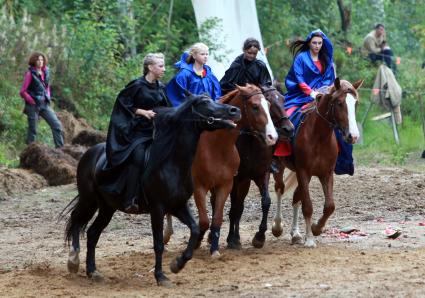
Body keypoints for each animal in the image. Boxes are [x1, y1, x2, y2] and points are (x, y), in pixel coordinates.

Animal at [63, 93, 242, 286]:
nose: (235, 110)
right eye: (204, 103)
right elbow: (158, 244)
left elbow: (194, 229)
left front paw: (177, 264)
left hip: (107, 207)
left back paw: (92, 271)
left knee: (92, 233)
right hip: (89, 200)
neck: (172, 163)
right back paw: (73, 260)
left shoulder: (178, 206)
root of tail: (89, 153)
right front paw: (160, 276)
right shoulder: (157, 209)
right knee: (76, 220)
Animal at [225, 85, 294, 250]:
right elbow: (235, 207)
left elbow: (266, 201)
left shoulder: (261, 174)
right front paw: (231, 239)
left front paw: (259, 237)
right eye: (270, 101)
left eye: (283, 99)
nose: (289, 129)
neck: (251, 141)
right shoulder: (238, 178)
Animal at [270, 78, 362, 247]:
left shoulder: (326, 173)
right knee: (280, 189)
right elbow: (307, 206)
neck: (319, 136)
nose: (353, 136)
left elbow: (330, 206)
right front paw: (310, 239)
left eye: (356, 103)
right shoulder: (303, 172)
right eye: (339, 103)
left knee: (296, 197)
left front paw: (316, 228)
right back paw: (278, 226)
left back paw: (296, 234)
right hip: (281, 166)